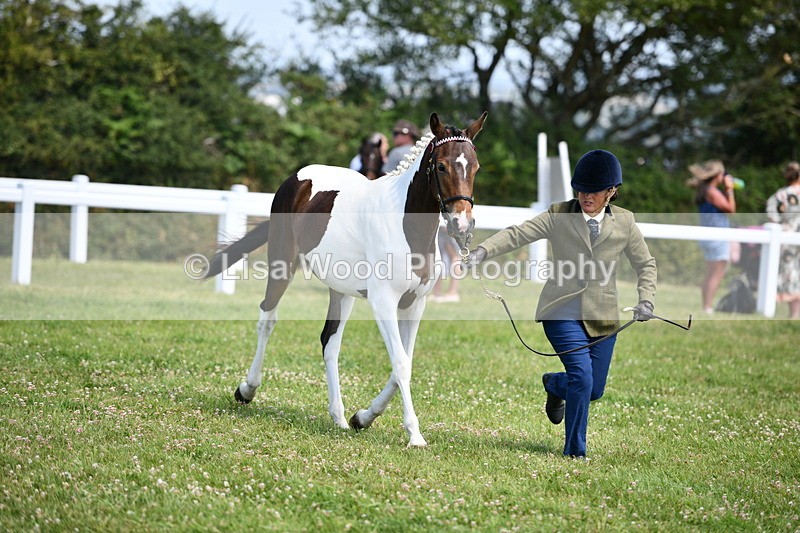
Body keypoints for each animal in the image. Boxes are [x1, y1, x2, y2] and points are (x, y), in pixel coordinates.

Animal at [204, 112, 487, 447]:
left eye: (475, 166)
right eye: (441, 165)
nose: (461, 225)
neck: (406, 226)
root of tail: (297, 177)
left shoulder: (414, 303)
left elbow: (402, 363)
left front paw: (362, 418)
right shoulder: (383, 302)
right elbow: (400, 363)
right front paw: (414, 435)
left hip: (342, 291)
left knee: (330, 342)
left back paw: (338, 417)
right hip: (282, 264)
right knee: (267, 319)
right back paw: (247, 390)